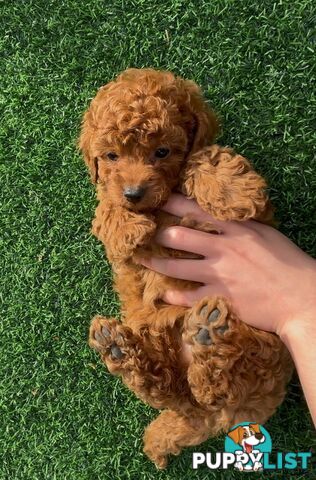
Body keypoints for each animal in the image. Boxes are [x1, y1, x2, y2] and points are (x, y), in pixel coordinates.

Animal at [79, 68, 294, 468]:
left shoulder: (260, 216)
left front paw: (232, 190)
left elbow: (205, 156)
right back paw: (120, 349)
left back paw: (209, 337)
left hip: (268, 349)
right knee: (173, 389)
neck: (161, 203)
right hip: (154, 331)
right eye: (111, 155)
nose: (133, 194)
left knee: (217, 383)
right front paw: (124, 222)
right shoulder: (124, 252)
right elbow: (105, 207)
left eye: (162, 152)